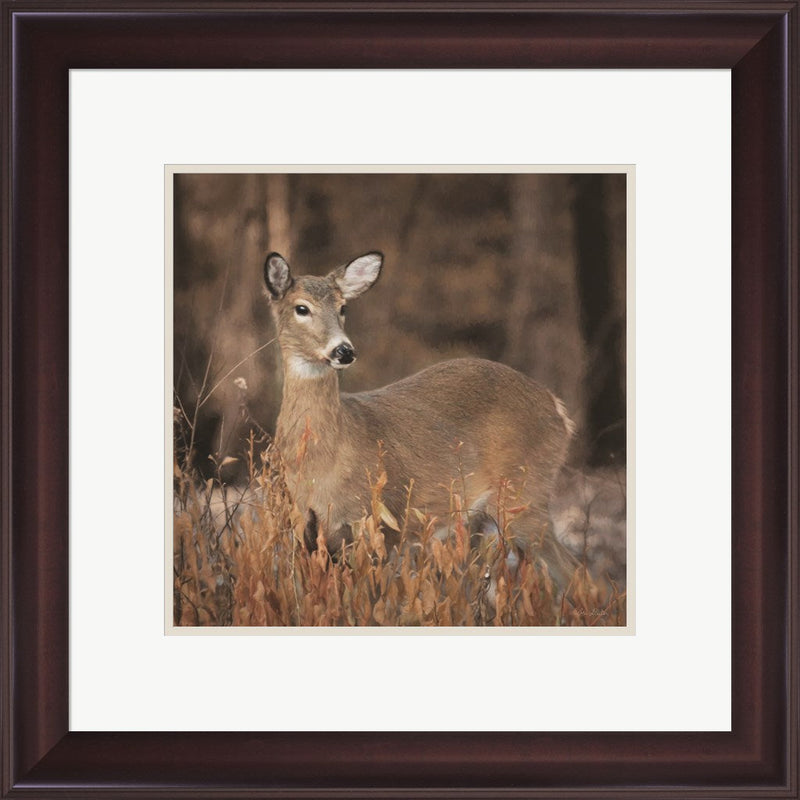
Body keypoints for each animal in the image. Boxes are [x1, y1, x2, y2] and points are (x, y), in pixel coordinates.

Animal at [263, 250, 580, 590]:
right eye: (301, 308)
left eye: (343, 307)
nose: (344, 350)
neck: (324, 460)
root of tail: (558, 408)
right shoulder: (307, 532)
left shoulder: (381, 520)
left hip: (524, 493)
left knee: (577, 572)